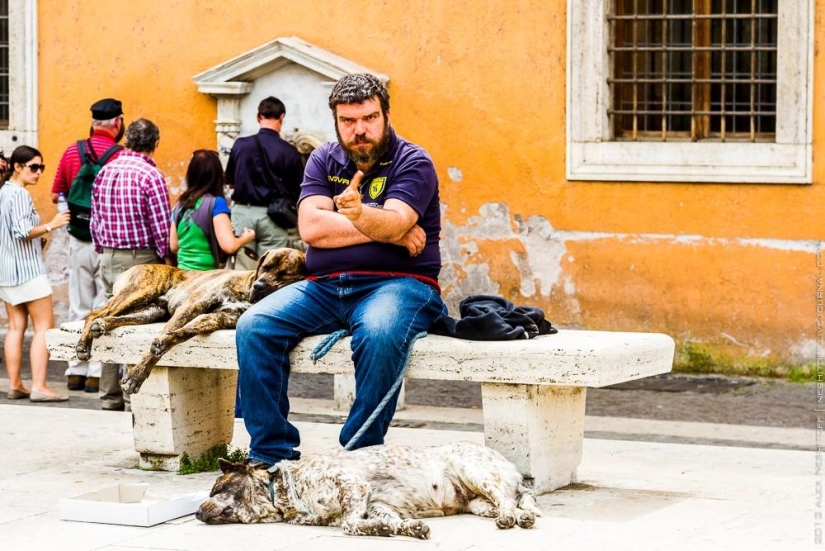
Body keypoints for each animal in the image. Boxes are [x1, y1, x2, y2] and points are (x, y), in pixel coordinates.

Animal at [73, 248, 306, 394]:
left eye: (285, 274)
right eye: (265, 267)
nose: (258, 286)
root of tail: (133, 268)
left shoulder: (217, 317)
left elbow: (184, 332)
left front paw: (166, 341)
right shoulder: (194, 304)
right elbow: (157, 346)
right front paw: (137, 376)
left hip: (150, 310)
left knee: (110, 317)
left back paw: (102, 326)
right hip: (139, 291)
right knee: (94, 313)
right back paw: (83, 344)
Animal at [195, 442, 540, 540]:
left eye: (217, 488)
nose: (196, 512)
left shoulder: (353, 486)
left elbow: (349, 524)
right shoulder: (377, 506)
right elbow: (390, 522)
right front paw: (403, 528)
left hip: (474, 471)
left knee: (507, 501)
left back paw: (513, 519)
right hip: (476, 503)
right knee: (515, 503)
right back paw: (522, 517)